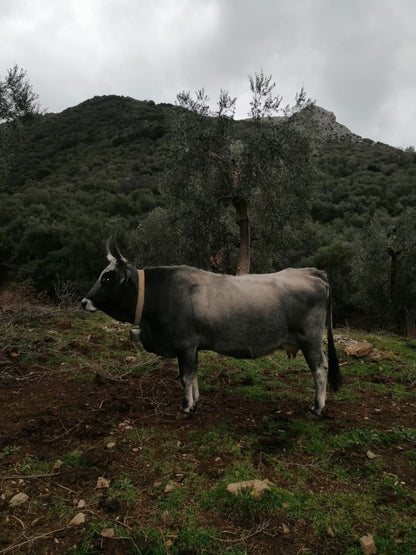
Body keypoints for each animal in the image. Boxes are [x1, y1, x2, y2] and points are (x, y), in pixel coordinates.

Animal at [82, 242, 342, 416]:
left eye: (107, 277)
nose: (84, 301)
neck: (161, 294)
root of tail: (312, 272)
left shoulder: (184, 345)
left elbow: (185, 377)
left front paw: (186, 407)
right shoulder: (192, 347)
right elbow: (194, 374)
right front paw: (196, 400)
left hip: (310, 340)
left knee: (320, 370)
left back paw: (318, 407)